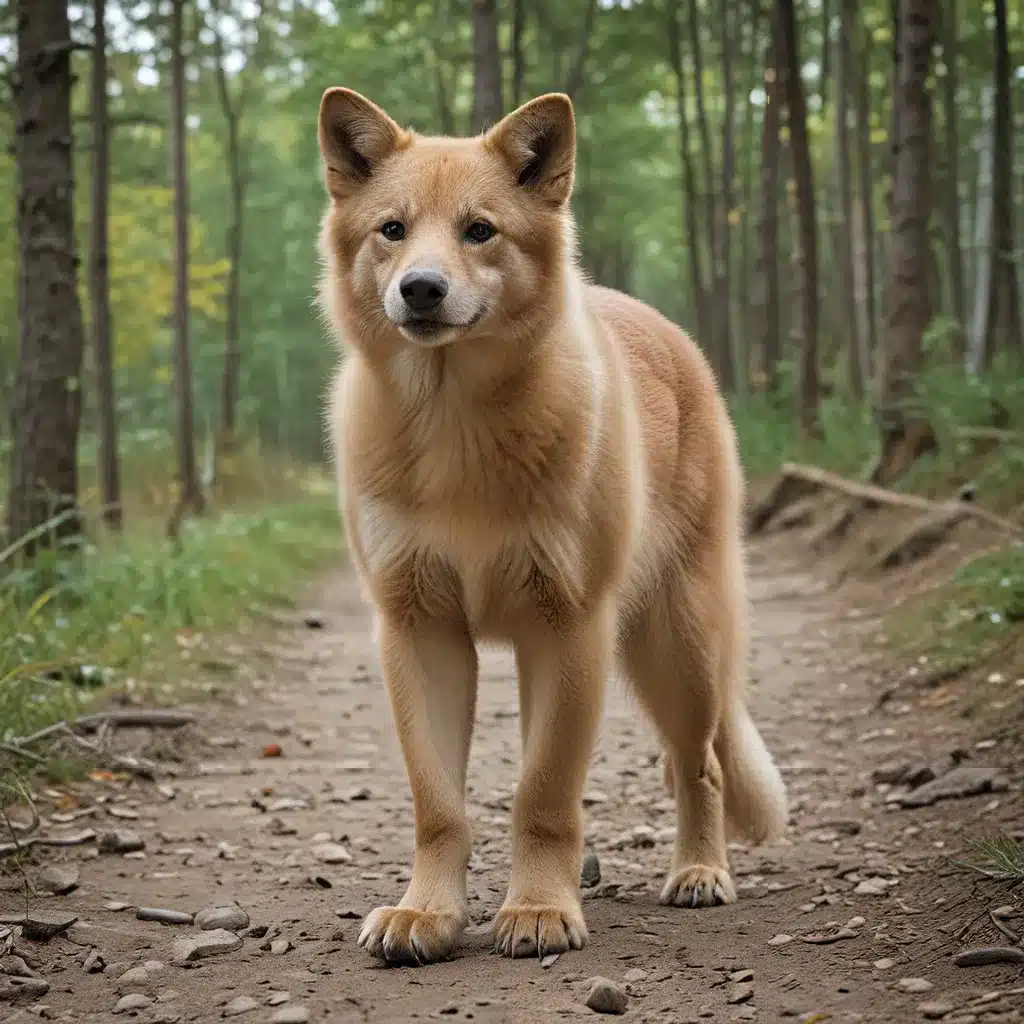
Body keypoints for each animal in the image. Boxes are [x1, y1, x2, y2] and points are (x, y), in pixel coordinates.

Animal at [315, 90, 786, 966]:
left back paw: (700, 871)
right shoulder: (418, 630)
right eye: (392, 229)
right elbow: (439, 802)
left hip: (679, 645)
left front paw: (537, 910)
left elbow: (542, 793)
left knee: (698, 764)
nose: (421, 290)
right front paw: (426, 914)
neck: (458, 431)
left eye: (480, 230)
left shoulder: (566, 627)